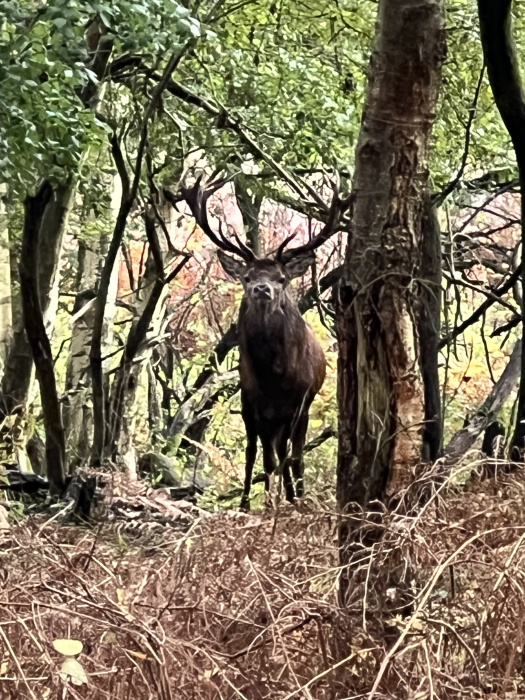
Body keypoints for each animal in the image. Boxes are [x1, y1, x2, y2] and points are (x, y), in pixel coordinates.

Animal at [181, 174, 350, 509]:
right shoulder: (252, 400)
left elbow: (290, 456)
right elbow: (258, 456)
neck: (274, 376)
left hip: (297, 411)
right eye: (247, 277)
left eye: (281, 278)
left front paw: (292, 498)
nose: (262, 289)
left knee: (290, 452)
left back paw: (294, 494)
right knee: (265, 451)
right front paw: (253, 502)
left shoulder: (299, 401)